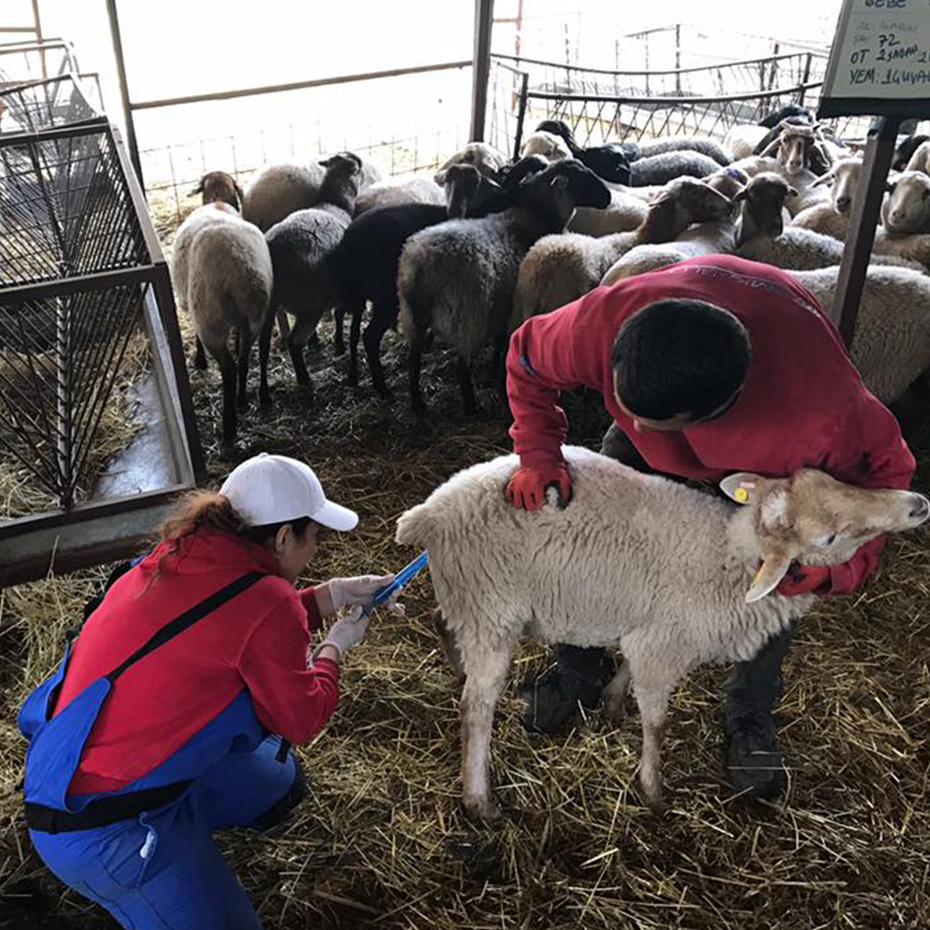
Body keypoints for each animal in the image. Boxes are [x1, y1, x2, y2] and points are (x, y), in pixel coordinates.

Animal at [170, 198, 272, 442]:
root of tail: (245, 271)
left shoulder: (195, 309)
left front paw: (199, 360)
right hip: (260, 315)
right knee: (251, 357)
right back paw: (249, 399)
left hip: (210, 320)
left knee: (230, 368)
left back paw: (229, 426)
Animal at [394, 446, 928, 816]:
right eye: (828, 538)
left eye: (829, 476)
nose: (917, 502)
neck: (730, 555)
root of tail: (428, 513)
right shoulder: (664, 643)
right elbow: (656, 721)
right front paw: (652, 790)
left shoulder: (651, 628)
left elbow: (628, 670)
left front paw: (612, 704)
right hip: (491, 609)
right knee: (475, 709)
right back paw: (479, 799)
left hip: (466, 597)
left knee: (441, 621)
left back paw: (455, 667)